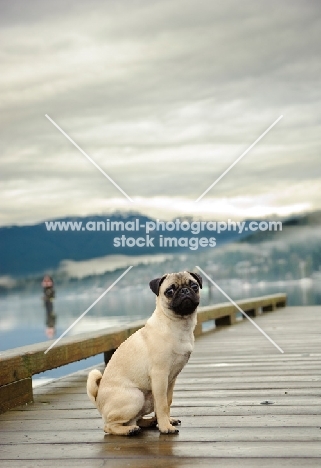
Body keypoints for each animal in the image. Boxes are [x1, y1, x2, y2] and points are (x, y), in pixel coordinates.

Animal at [86, 270, 201, 436]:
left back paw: (149, 422)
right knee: (109, 426)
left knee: (136, 419)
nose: (185, 291)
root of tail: (97, 401)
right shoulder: (160, 376)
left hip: (148, 398)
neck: (178, 325)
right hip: (136, 397)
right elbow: (162, 404)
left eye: (194, 286)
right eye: (169, 291)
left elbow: (168, 402)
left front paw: (166, 421)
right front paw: (165, 427)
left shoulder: (170, 380)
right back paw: (129, 430)